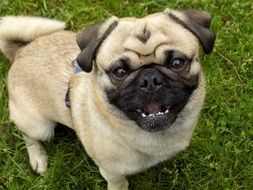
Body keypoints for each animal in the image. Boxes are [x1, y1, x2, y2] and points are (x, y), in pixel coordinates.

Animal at [0, 7, 215, 190]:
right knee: (29, 136)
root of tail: (19, 53)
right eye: (119, 72)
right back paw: (38, 159)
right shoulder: (111, 172)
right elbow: (119, 183)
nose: (150, 79)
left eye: (177, 63)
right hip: (41, 128)